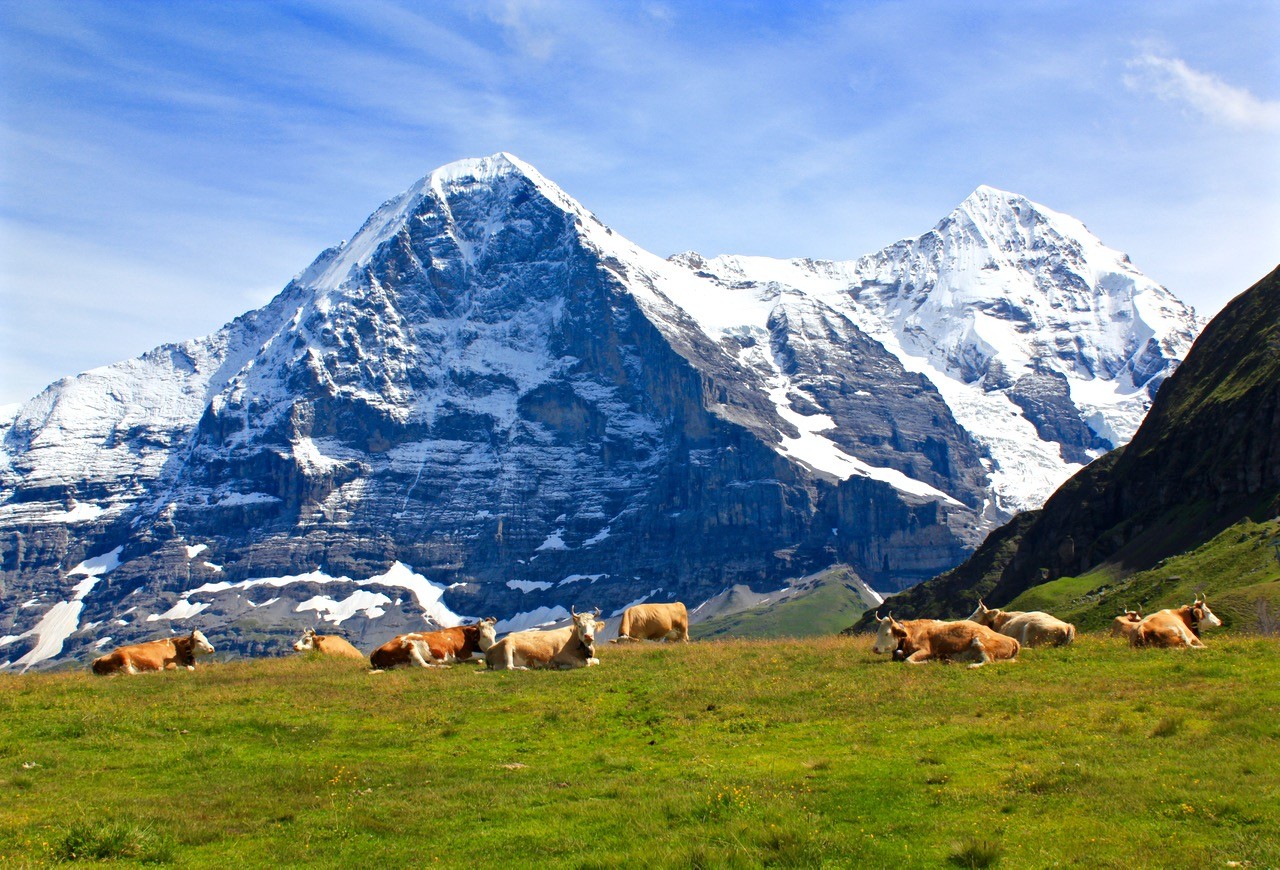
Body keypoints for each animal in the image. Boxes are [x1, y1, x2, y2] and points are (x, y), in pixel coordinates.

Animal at [368, 614, 496, 670]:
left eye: (494, 634)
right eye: (484, 635)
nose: (492, 648)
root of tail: (376, 650)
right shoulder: (463, 655)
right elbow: (481, 656)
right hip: (411, 648)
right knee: (424, 665)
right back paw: (445, 665)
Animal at [870, 614, 1018, 670]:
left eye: (887, 633)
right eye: (877, 632)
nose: (875, 649)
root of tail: (1012, 639)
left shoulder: (926, 650)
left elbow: (908, 660)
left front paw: (926, 662)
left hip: (980, 641)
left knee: (988, 660)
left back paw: (971, 666)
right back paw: (948, 661)